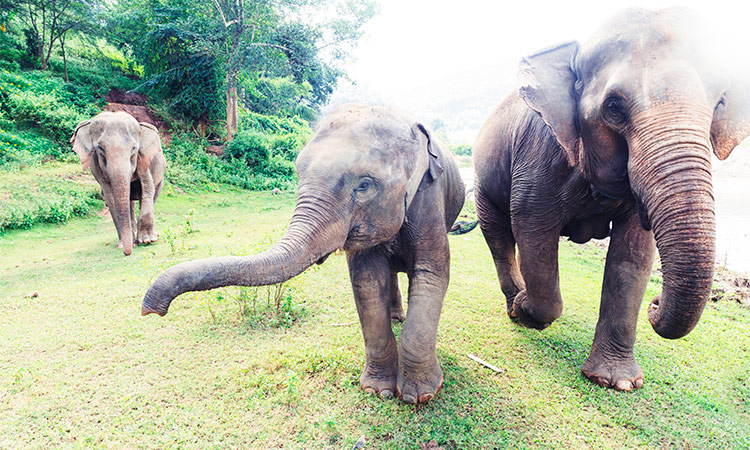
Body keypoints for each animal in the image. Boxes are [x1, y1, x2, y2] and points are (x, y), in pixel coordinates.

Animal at [71, 111, 166, 255]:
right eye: (100, 148)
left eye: (134, 148)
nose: (127, 253)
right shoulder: (96, 166)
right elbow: (110, 197)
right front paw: (123, 244)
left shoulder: (143, 160)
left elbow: (147, 188)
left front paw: (147, 241)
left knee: (153, 195)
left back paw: (151, 236)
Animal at [144, 105, 468, 404]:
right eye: (299, 172)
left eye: (364, 185)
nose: (151, 310)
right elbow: (366, 281)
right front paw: (379, 391)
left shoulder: (429, 200)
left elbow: (432, 274)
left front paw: (419, 397)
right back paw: (395, 318)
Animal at [476, 8, 750, 392]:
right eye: (614, 108)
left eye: (719, 102)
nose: (655, 303)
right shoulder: (540, 156)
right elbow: (533, 229)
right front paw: (526, 308)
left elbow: (633, 253)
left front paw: (616, 382)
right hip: (482, 182)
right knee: (499, 234)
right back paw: (514, 305)